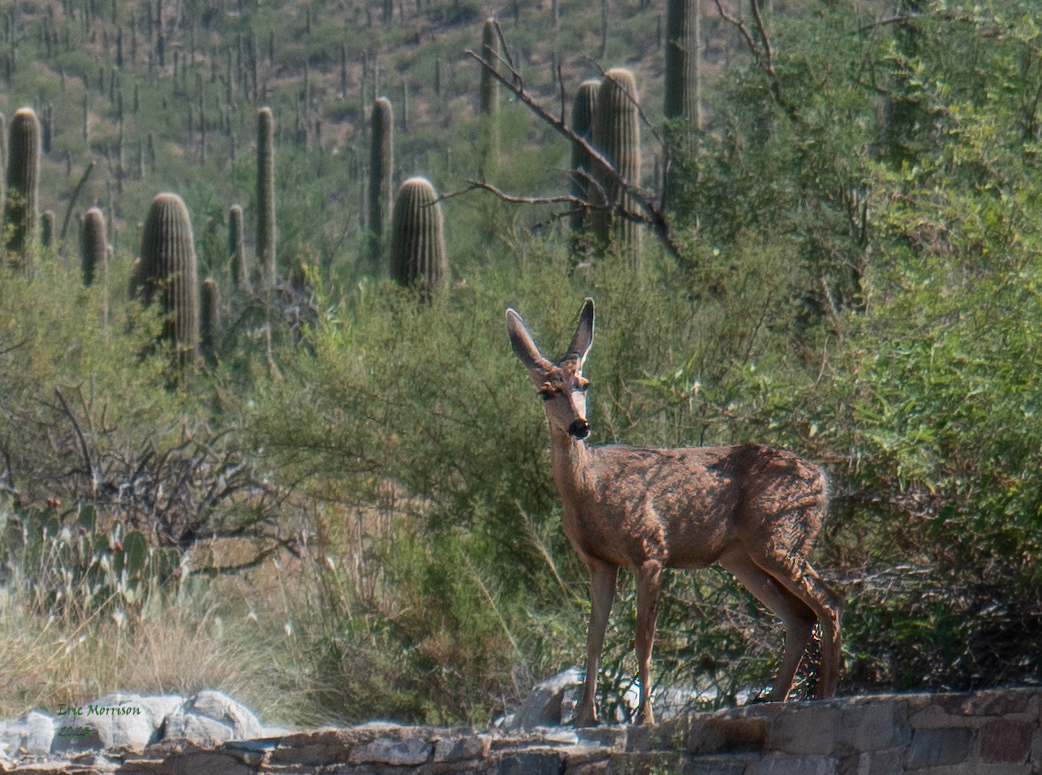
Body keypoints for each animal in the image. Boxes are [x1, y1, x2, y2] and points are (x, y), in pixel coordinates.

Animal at [508, 297, 841, 725]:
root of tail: (823, 481)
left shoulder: (650, 549)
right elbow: (594, 637)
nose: (580, 426)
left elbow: (643, 638)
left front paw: (645, 718)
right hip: (741, 557)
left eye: (584, 384)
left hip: (779, 537)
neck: (588, 490)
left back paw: (825, 695)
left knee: (828, 602)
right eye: (546, 393)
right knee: (800, 616)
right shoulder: (599, 562)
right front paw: (585, 717)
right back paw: (776, 700)